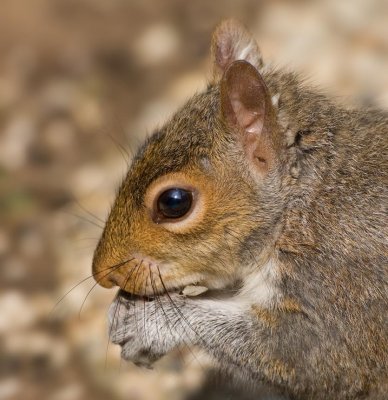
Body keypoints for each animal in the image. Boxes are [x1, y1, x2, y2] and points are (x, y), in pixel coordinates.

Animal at [93, 20, 388, 398]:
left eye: (174, 202)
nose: (103, 273)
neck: (302, 209)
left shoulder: (342, 291)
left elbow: (304, 355)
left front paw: (150, 323)